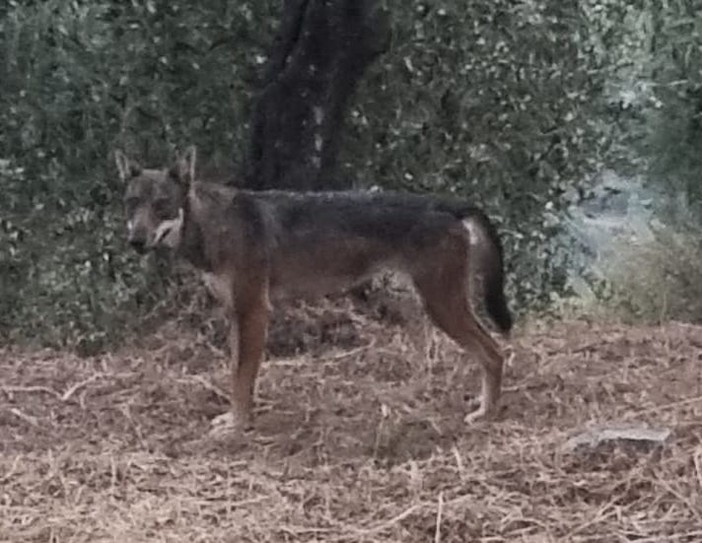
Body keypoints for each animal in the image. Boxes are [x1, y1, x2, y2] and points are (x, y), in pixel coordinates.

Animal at [114, 147, 512, 436]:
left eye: (162, 204)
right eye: (132, 204)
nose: (135, 241)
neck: (216, 226)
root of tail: (448, 203)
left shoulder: (254, 311)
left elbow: (242, 377)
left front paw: (239, 426)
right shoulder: (235, 314)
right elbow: (234, 373)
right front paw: (233, 419)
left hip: (441, 307)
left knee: (495, 353)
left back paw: (487, 414)